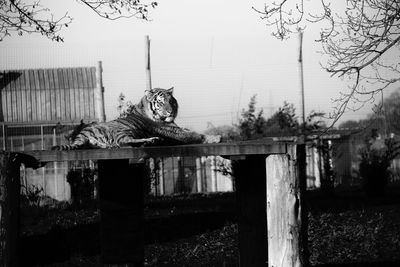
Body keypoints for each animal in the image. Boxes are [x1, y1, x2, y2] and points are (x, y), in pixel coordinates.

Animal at [51, 87, 220, 151]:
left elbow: (191, 131)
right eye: (161, 102)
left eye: (171, 101)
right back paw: (152, 140)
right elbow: (194, 134)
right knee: (123, 142)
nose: (170, 111)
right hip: (123, 130)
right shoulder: (173, 131)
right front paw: (215, 137)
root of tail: (81, 134)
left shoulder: (176, 128)